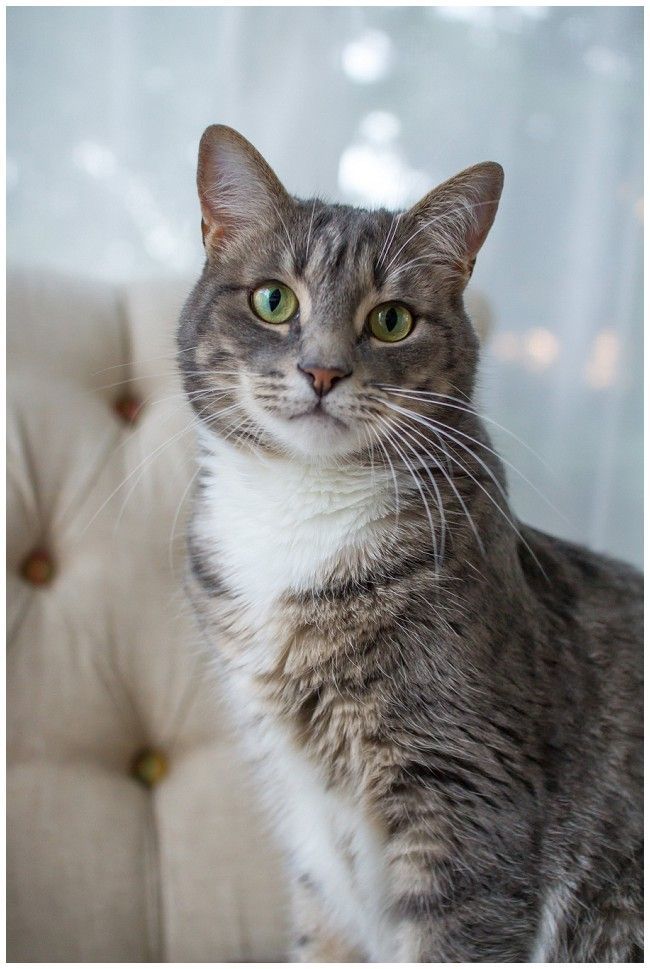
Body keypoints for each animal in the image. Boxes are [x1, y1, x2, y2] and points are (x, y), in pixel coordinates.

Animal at [177, 123, 644, 960]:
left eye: (391, 319)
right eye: (273, 301)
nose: (322, 370)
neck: (302, 509)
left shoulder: (462, 792)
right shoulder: (304, 814)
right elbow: (322, 935)